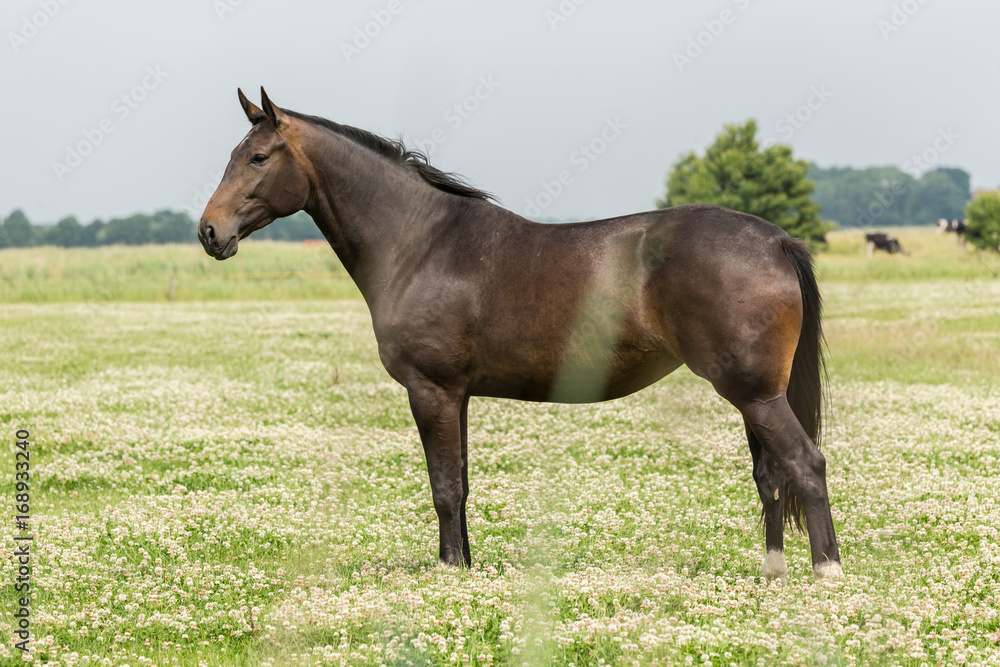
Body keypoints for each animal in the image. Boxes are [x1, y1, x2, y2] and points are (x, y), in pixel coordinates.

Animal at [198, 88, 842, 580]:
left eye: (258, 157)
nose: (209, 232)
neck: (421, 243)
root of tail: (776, 239)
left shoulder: (431, 389)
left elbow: (444, 486)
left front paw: (449, 572)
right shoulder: (456, 394)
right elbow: (460, 483)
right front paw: (465, 565)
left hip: (754, 392)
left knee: (805, 464)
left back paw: (826, 572)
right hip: (754, 394)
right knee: (770, 476)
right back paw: (772, 573)